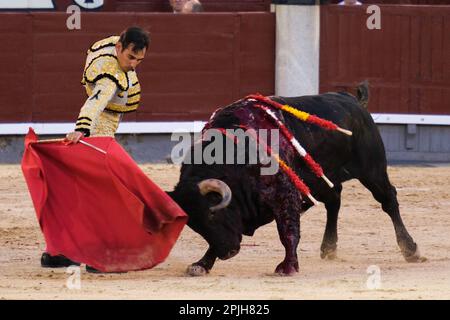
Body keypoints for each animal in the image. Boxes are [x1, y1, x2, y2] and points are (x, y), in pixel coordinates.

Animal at [167, 84, 424, 276]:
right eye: (194, 224)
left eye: (212, 214)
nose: (227, 252)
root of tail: (353, 101)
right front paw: (202, 263)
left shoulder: (284, 194)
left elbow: (288, 229)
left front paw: (288, 266)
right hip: (321, 180)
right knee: (334, 200)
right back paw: (329, 248)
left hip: (372, 170)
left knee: (388, 200)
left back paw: (410, 249)